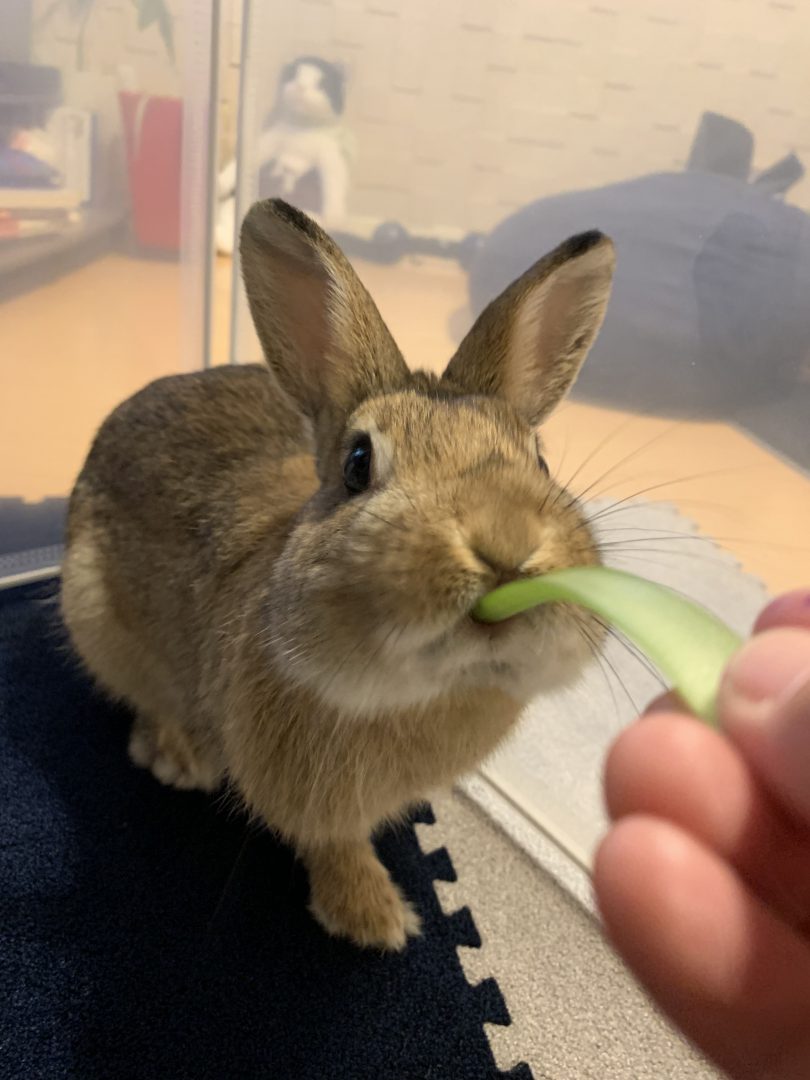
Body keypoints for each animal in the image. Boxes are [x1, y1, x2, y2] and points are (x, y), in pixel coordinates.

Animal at [60, 198, 613, 950]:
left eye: (541, 461)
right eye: (358, 463)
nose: (507, 543)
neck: (422, 692)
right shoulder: (311, 802)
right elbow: (334, 844)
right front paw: (375, 921)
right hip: (90, 610)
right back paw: (180, 757)